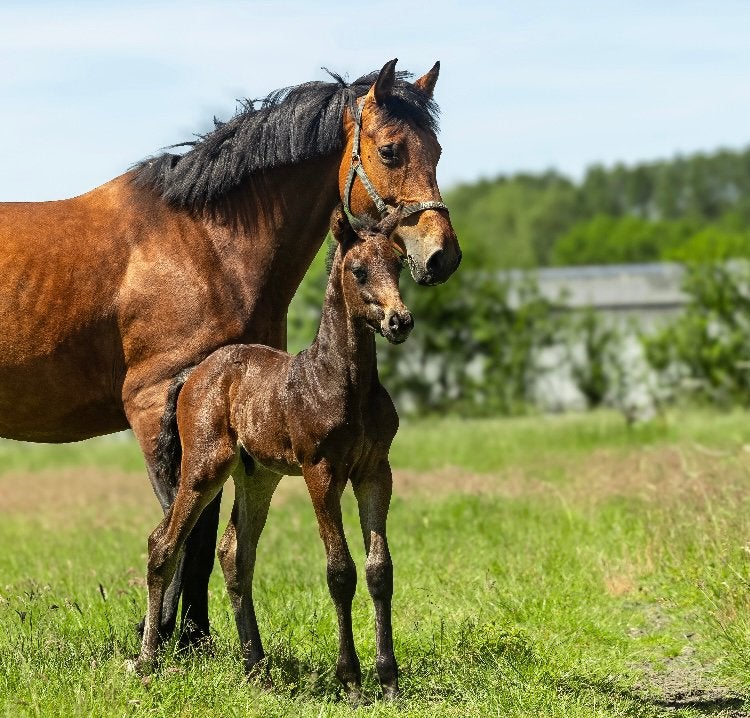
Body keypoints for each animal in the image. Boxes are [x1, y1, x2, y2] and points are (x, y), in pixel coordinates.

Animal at [0, 58, 460, 646]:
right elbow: (183, 523)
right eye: (390, 151)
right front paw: (163, 635)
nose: (443, 255)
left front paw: (195, 635)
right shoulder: (156, 408)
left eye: (437, 150)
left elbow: (207, 529)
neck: (205, 245)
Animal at [136, 206, 408, 702]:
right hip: (203, 469)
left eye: (398, 264)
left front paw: (389, 680)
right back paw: (148, 660)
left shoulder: (376, 471)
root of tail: (193, 374)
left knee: (234, 554)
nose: (400, 321)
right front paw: (351, 680)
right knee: (163, 545)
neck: (343, 382)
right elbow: (340, 571)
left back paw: (255, 667)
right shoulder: (322, 472)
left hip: (257, 476)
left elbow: (380, 569)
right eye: (359, 270)